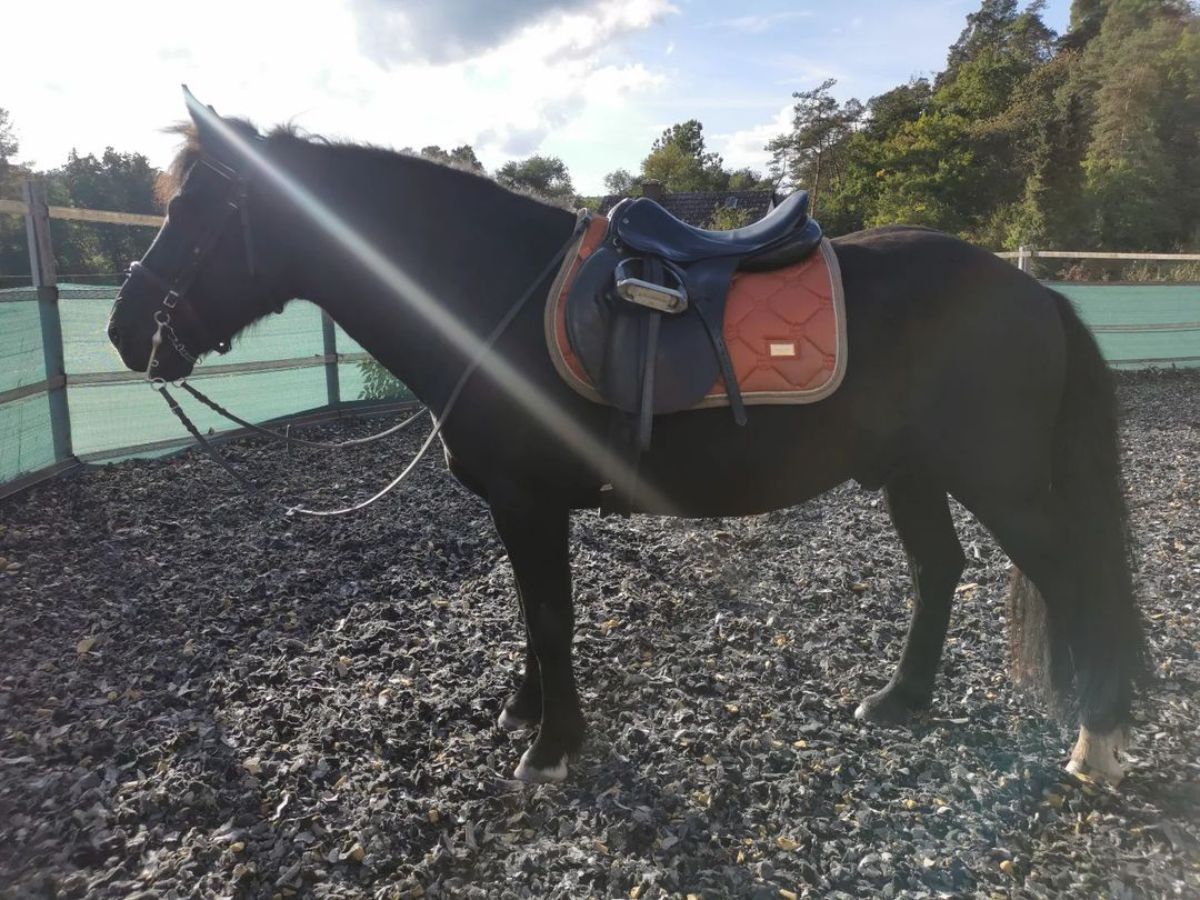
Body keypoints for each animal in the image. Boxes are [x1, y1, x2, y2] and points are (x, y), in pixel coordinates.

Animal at [105, 91, 1142, 782]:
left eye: (196, 210)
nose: (122, 331)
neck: (488, 295)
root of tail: (1036, 291)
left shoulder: (531, 504)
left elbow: (550, 615)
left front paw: (552, 744)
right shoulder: (517, 508)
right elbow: (530, 614)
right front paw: (523, 712)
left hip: (1003, 483)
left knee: (1076, 581)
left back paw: (1097, 745)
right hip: (911, 473)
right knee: (940, 569)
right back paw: (901, 702)